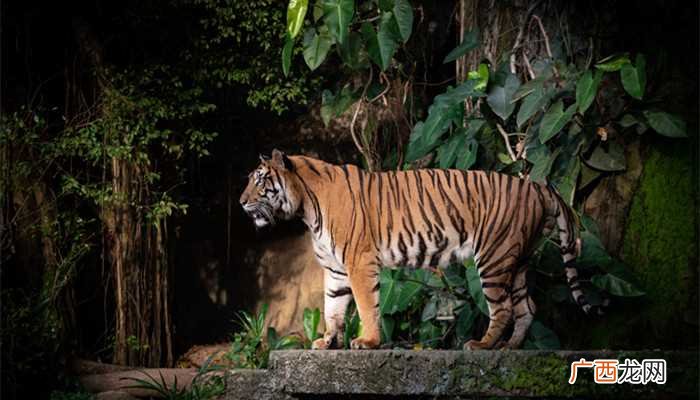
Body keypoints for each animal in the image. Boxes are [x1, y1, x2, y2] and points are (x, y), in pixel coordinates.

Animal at [239, 149, 594, 350]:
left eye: (260, 181)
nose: (241, 202)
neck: (306, 208)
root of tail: (535, 186)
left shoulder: (358, 262)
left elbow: (366, 305)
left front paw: (367, 342)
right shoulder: (336, 269)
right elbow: (333, 308)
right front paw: (327, 342)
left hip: (493, 257)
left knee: (504, 307)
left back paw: (482, 345)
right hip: (516, 259)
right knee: (527, 307)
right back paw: (510, 347)